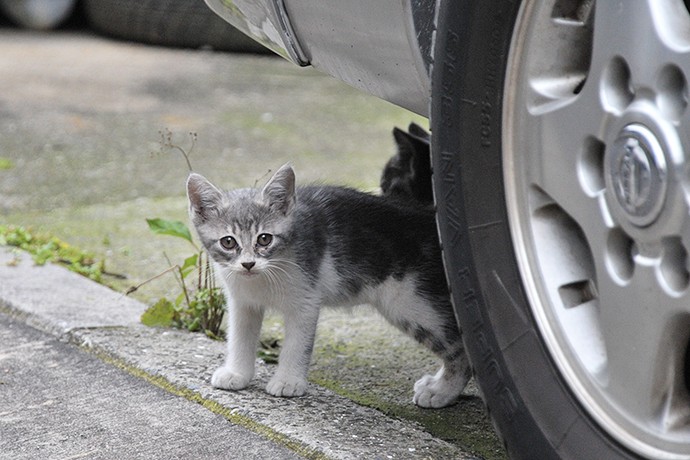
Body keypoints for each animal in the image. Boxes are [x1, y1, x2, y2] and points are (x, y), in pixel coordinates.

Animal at [185, 164, 470, 406]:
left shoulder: (306, 299)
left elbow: (297, 345)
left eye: (264, 239)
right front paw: (237, 374)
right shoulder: (242, 301)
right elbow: (240, 337)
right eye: (228, 242)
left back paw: (441, 391)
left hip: (415, 305)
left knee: (461, 350)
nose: (248, 264)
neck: (263, 278)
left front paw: (288, 381)